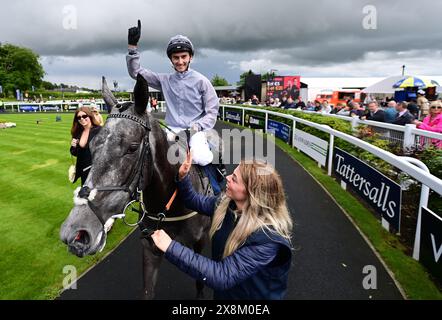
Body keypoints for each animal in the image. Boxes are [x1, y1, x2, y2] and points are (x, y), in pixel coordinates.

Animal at [60, 75, 212, 300]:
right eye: (92, 144)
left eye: (132, 147)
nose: (76, 231)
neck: (170, 206)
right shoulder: (149, 247)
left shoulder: (201, 242)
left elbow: (201, 281)